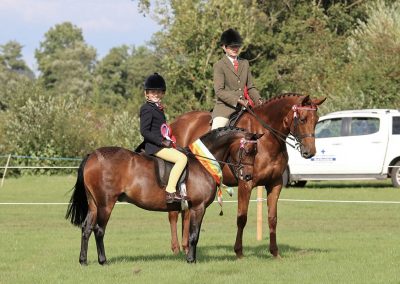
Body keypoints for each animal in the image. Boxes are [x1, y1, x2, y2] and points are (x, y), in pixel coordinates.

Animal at [64, 126, 260, 264]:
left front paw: (191, 258)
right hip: (106, 204)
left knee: (86, 228)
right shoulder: (198, 207)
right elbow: (194, 235)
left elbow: (192, 234)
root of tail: (92, 155)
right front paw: (191, 260)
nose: (248, 177)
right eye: (248, 151)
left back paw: (83, 261)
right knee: (98, 230)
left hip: (94, 204)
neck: (202, 162)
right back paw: (103, 261)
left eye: (256, 152)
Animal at [167, 92, 326, 258]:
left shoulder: (275, 184)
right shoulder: (246, 183)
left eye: (316, 121)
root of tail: (175, 123)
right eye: (302, 119)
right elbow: (242, 217)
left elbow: (272, 218)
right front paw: (239, 252)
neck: (266, 139)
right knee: (173, 213)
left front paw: (275, 252)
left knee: (186, 213)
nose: (310, 152)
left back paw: (186, 247)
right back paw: (176, 248)